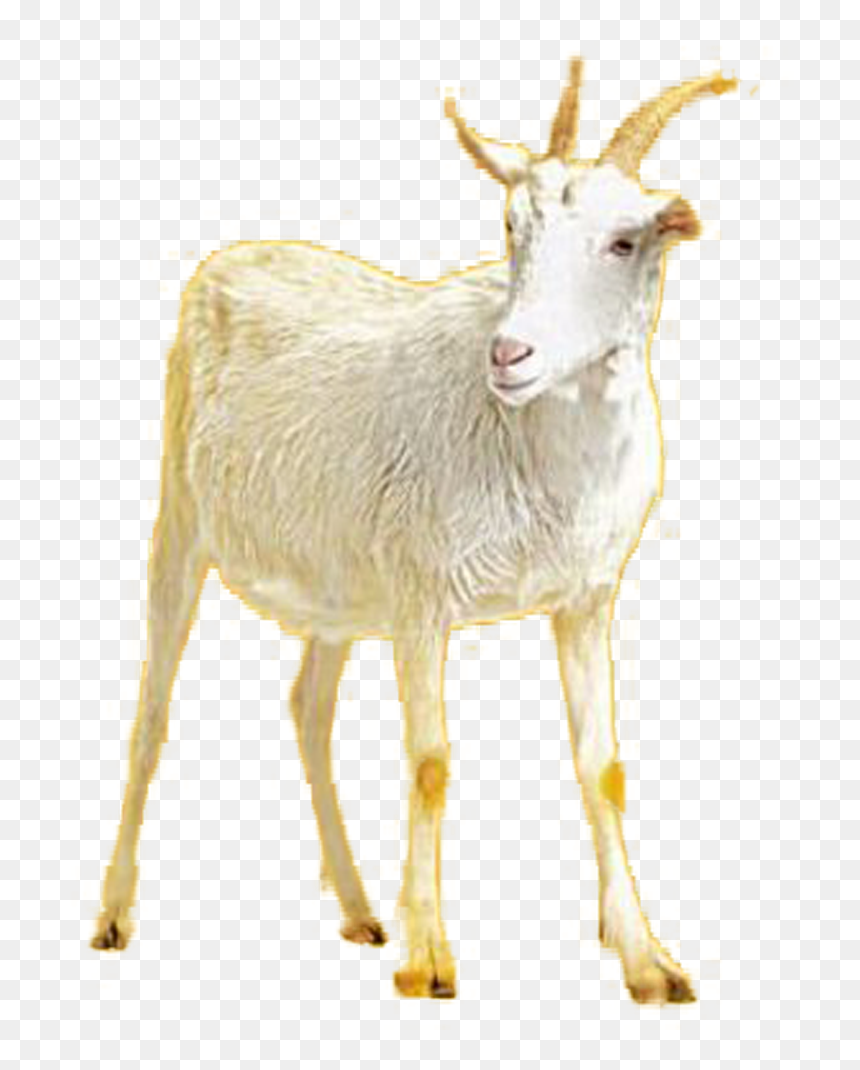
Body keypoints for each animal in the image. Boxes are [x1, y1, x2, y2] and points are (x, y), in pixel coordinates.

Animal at [92, 59, 737, 1003]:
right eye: (512, 228)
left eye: (625, 241)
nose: (509, 356)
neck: (534, 449)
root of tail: (232, 257)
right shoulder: (423, 599)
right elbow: (431, 760)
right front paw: (430, 959)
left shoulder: (585, 599)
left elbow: (602, 767)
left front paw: (647, 960)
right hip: (180, 520)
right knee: (152, 711)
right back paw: (113, 916)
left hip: (336, 587)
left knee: (308, 706)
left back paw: (362, 910)